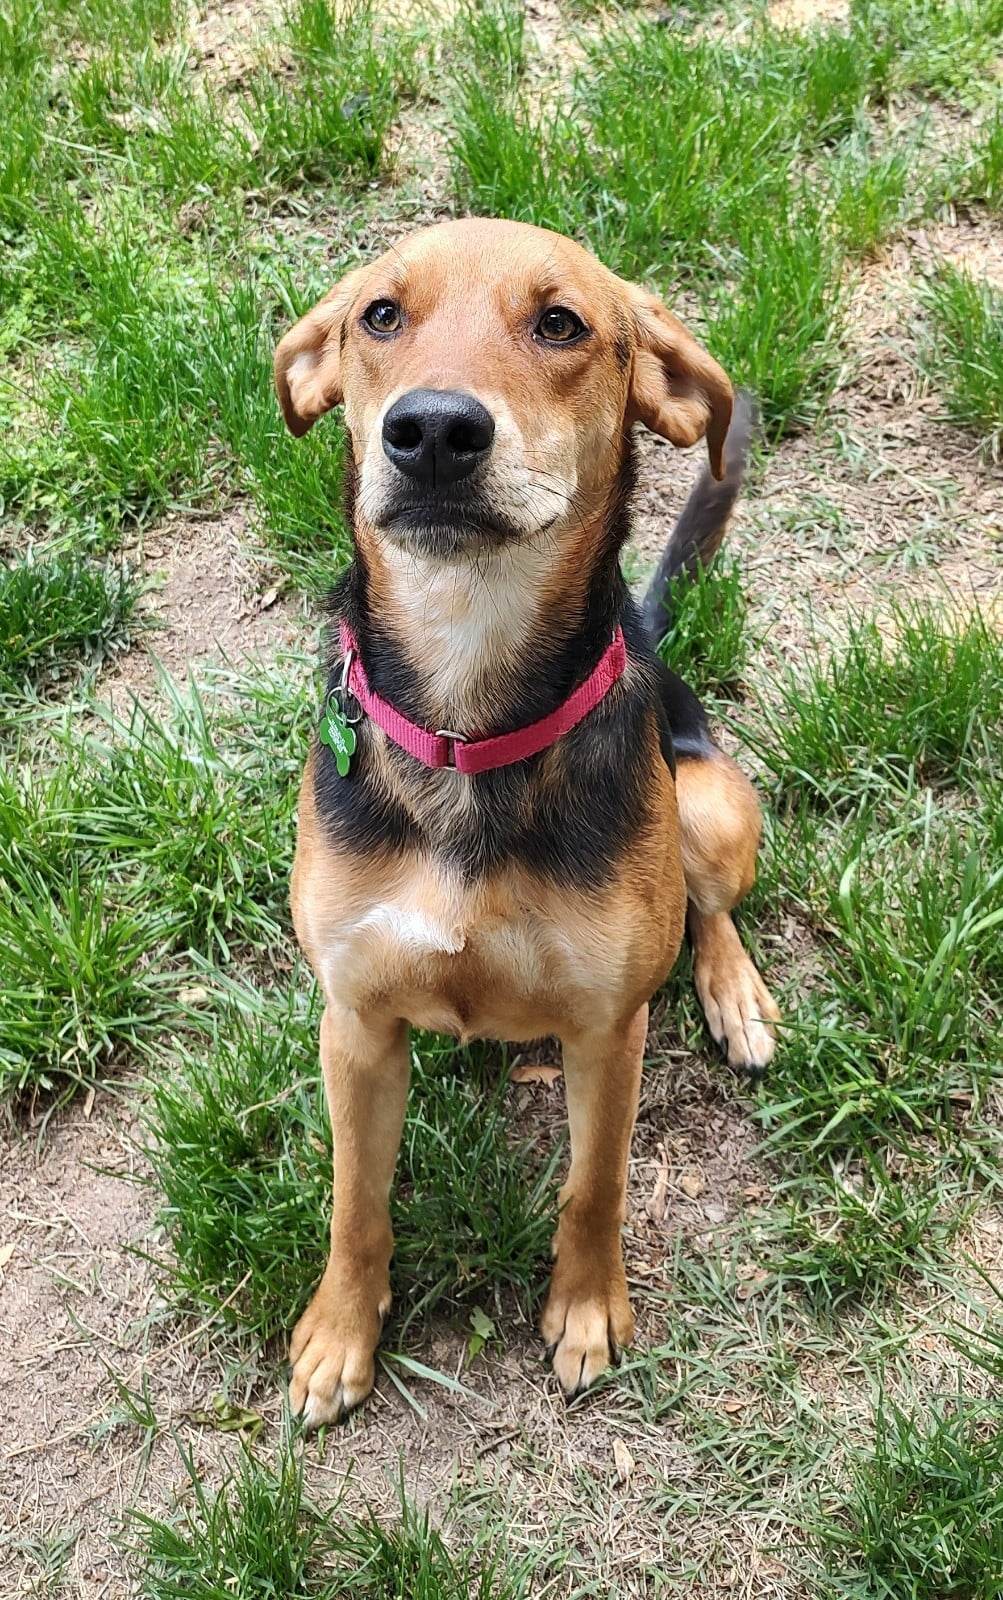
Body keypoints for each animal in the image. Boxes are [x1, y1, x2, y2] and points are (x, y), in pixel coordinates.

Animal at [276, 216, 783, 1427]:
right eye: (378, 316)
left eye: (561, 324)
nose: (432, 432)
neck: (468, 714)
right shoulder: (353, 1021)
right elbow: (354, 1202)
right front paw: (337, 1335)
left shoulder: (606, 1028)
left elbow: (594, 1185)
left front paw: (589, 1311)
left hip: (709, 805)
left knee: (707, 911)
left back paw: (735, 996)